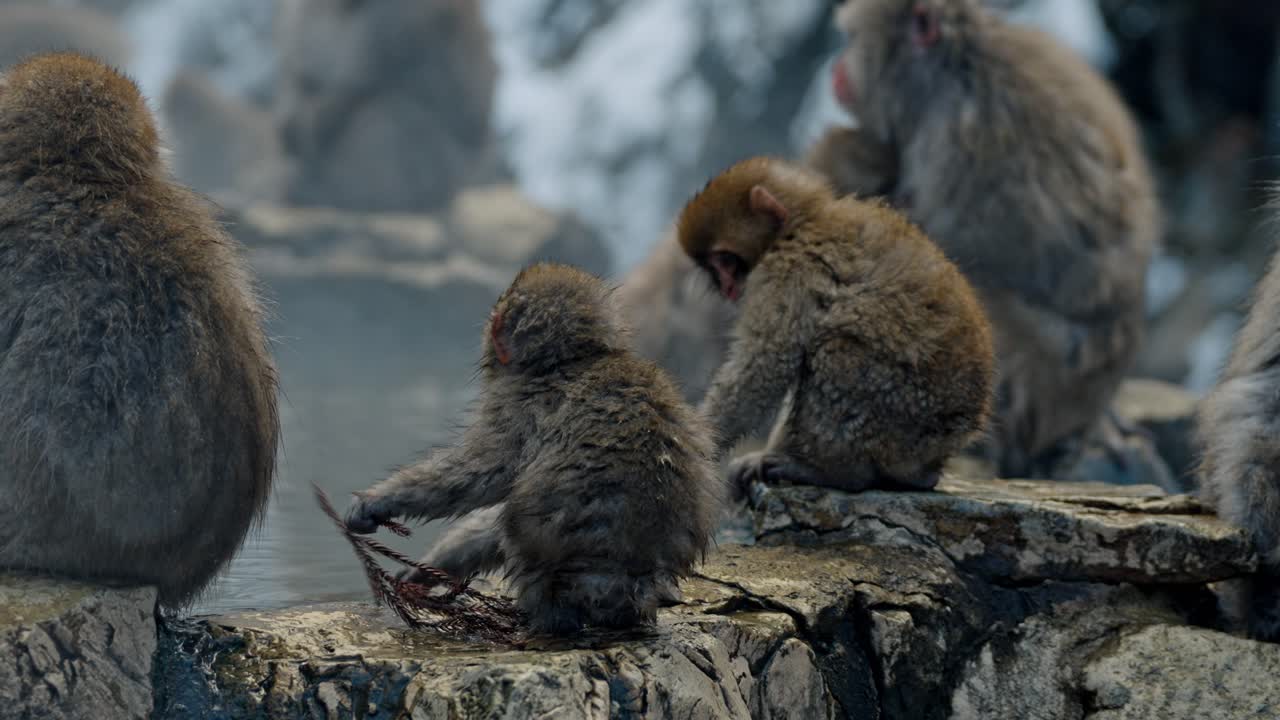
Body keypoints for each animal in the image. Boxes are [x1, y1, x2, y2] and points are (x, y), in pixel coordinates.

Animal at [344, 262, 724, 635]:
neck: (569, 362)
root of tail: (632, 586)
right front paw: (429, 567)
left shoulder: (516, 404)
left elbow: (477, 473)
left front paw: (376, 503)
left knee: (514, 524)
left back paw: (545, 619)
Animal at [678, 156, 995, 494]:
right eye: (714, 268)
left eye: (724, 260)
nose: (726, 286)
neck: (804, 221)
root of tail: (955, 437)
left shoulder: (788, 270)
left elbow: (765, 364)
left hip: (905, 419)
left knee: (835, 352)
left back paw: (834, 473)